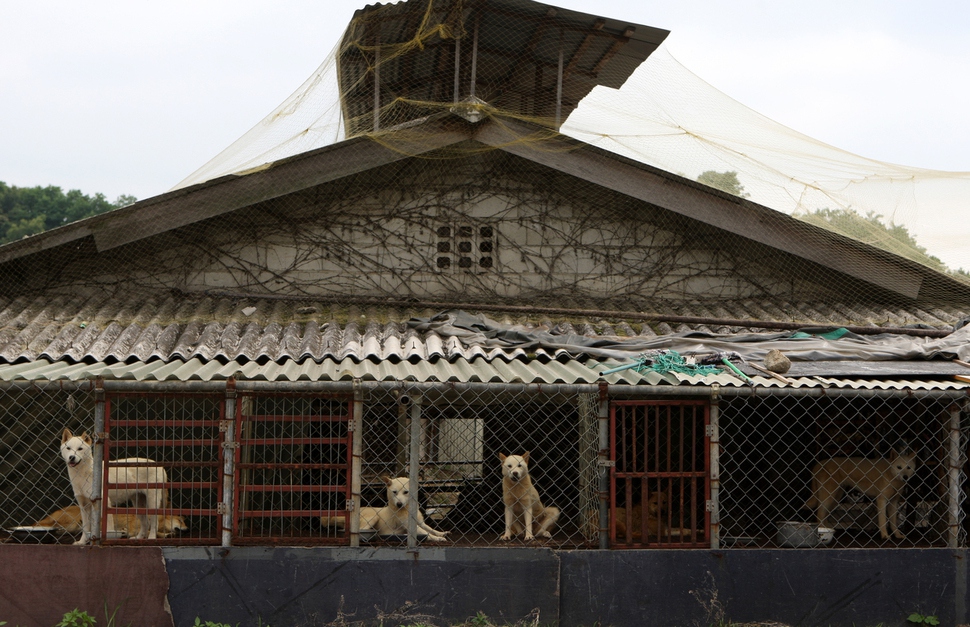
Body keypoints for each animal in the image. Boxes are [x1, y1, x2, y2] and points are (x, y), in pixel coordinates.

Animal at [322, 476, 450, 540]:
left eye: (406, 492)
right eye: (394, 492)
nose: (399, 504)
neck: (406, 510)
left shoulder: (420, 523)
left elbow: (430, 529)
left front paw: (441, 533)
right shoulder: (411, 526)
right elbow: (427, 533)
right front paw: (438, 539)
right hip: (372, 518)